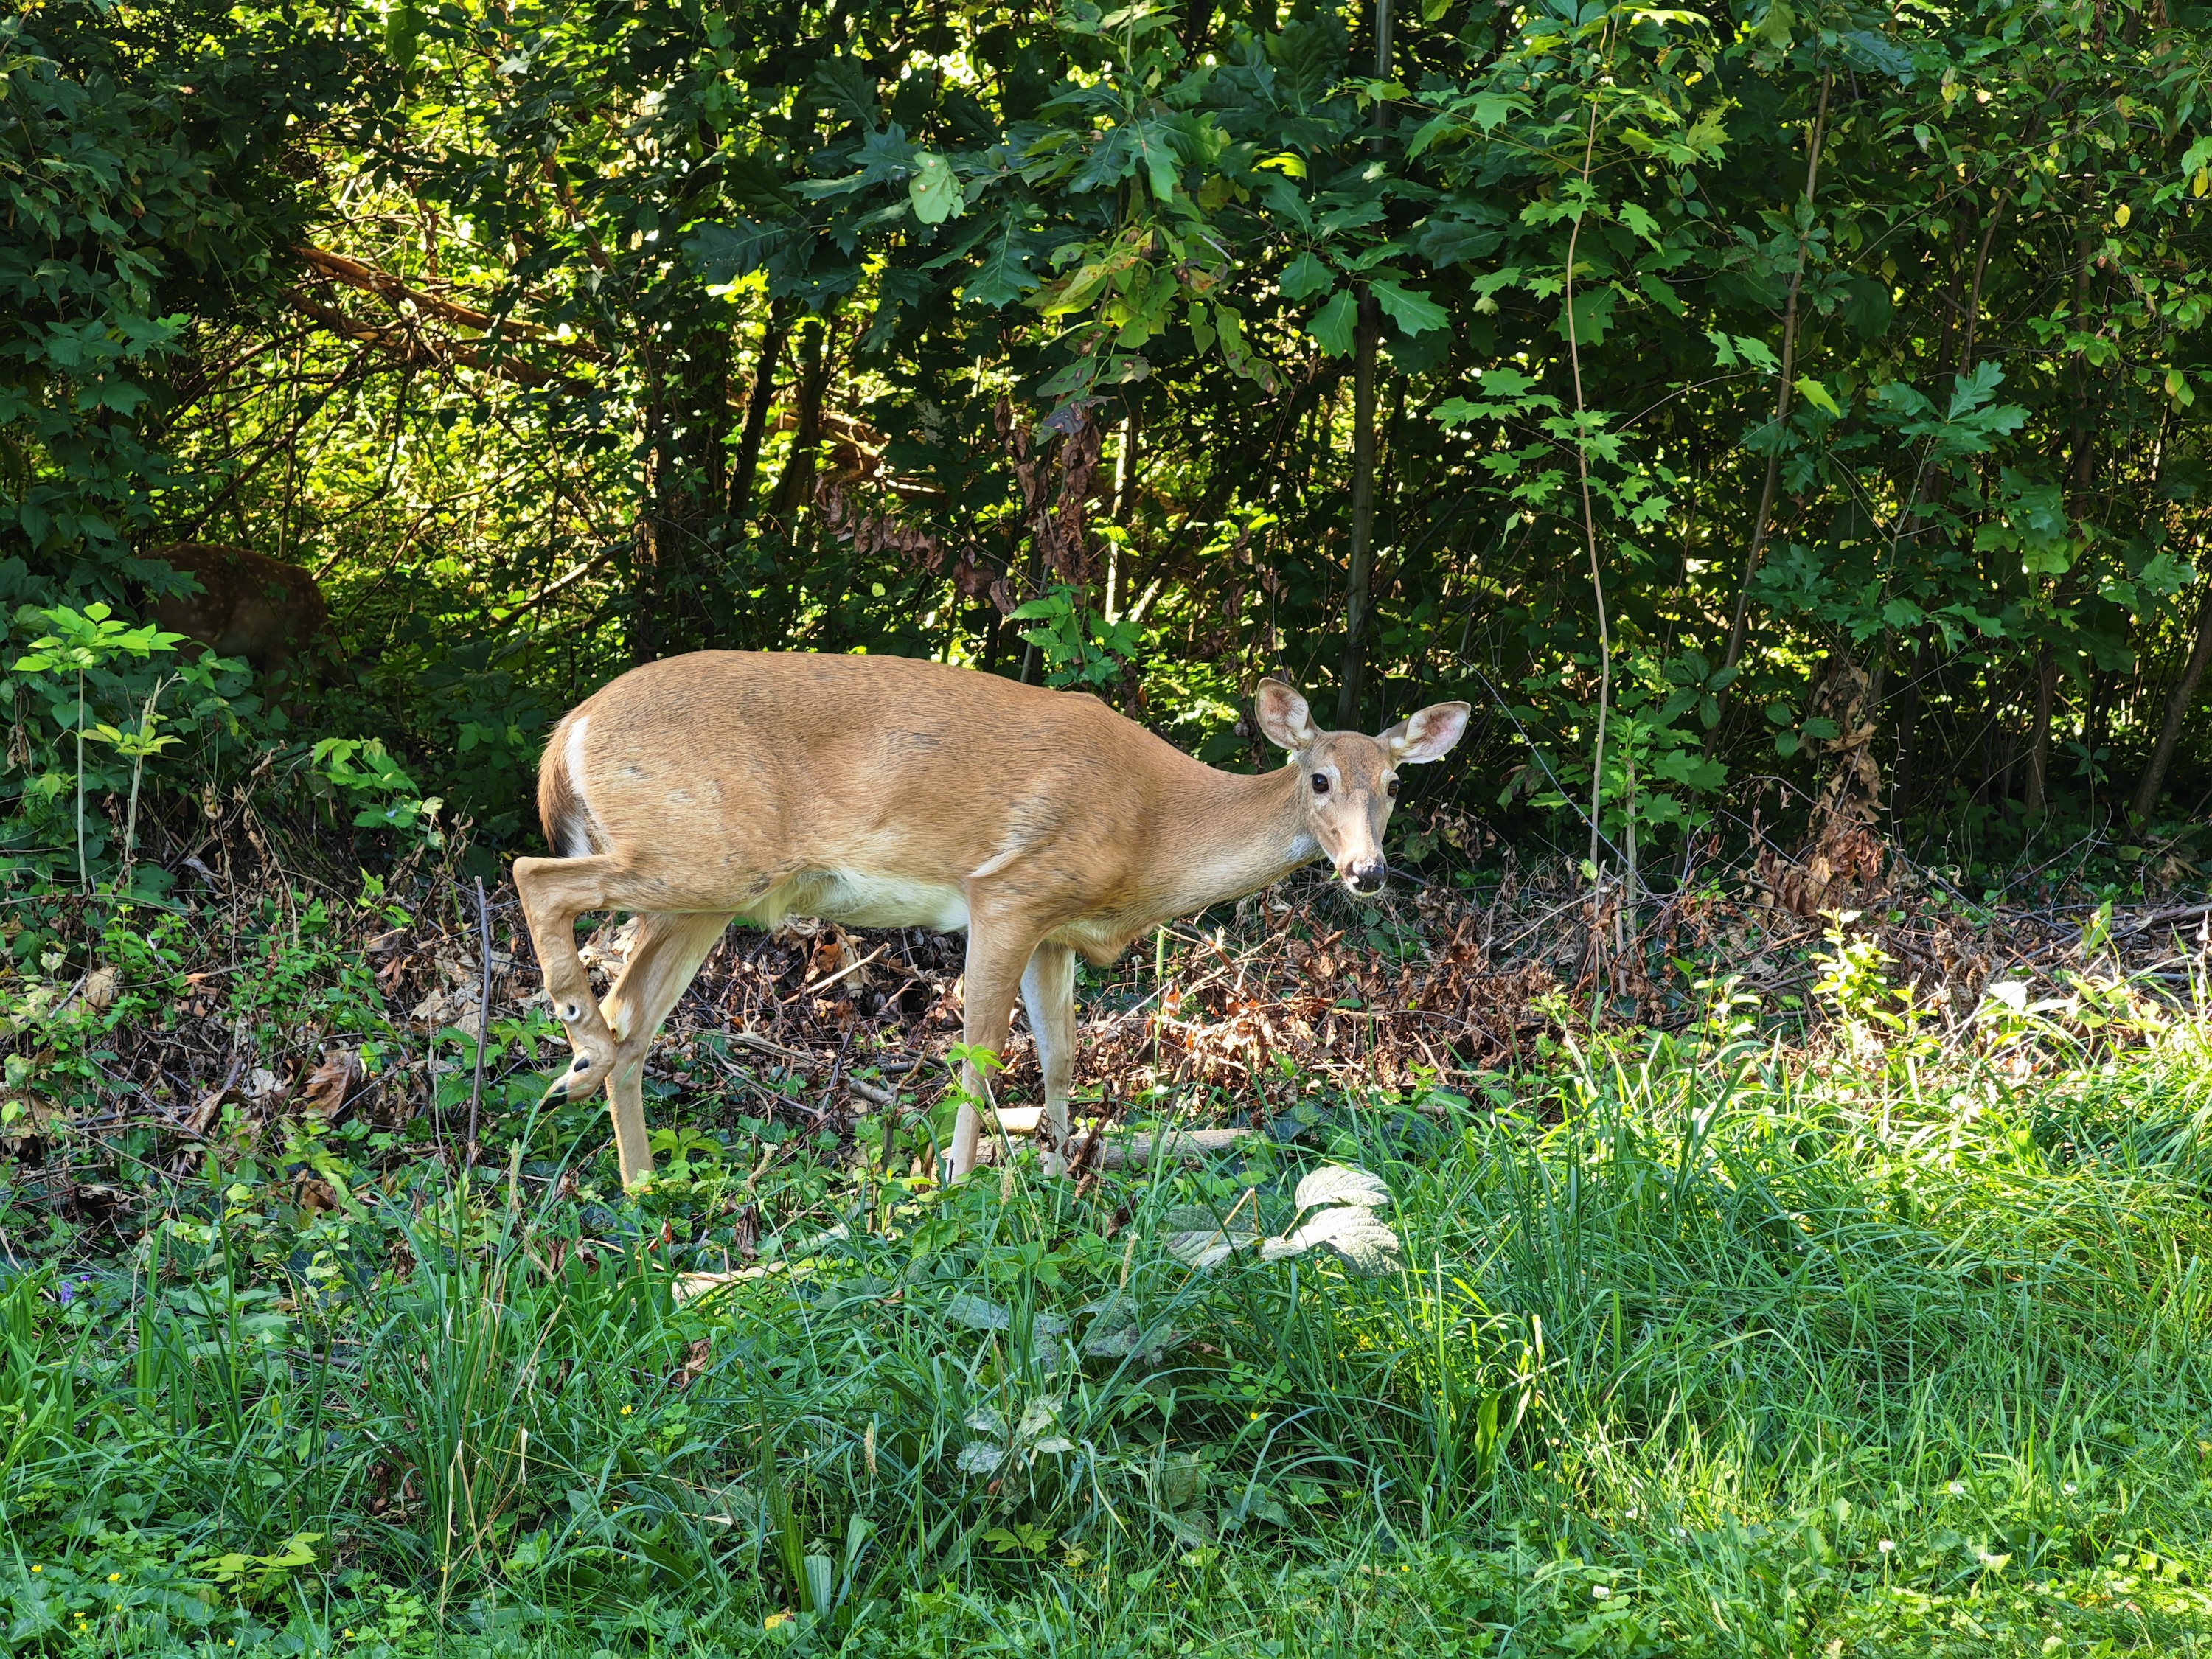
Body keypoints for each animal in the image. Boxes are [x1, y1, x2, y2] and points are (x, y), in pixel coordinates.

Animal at [515, 655, 1469, 1194]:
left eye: (1394, 784)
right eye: (1318, 779)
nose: (1367, 872)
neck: (1154, 828)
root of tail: (568, 732)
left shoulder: (1057, 929)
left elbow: (1060, 1055)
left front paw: (1058, 1166)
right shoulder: (1009, 891)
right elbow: (978, 1050)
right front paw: (957, 1181)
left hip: (705, 890)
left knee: (637, 1020)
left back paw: (639, 1180)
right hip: (702, 856)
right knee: (538, 879)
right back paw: (576, 1050)